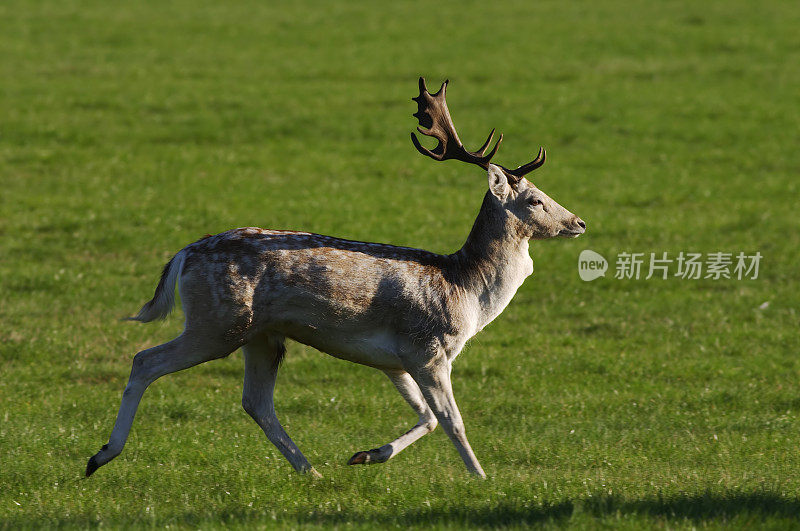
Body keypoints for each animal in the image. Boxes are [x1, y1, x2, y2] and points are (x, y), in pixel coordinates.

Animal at [86, 77, 588, 480]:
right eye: (536, 200)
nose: (579, 222)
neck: (466, 292)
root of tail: (184, 253)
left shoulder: (395, 360)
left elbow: (427, 418)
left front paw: (365, 455)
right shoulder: (428, 349)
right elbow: (452, 420)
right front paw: (482, 479)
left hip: (261, 335)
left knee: (256, 402)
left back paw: (311, 471)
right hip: (217, 321)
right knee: (145, 360)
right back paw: (101, 456)